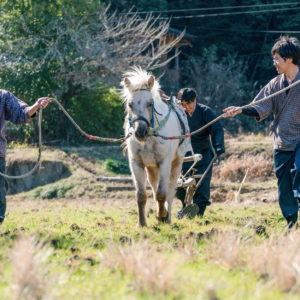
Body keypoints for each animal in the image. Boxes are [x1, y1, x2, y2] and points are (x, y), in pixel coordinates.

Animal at [121, 68, 190, 226]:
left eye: (150, 103)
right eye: (130, 104)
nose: (140, 131)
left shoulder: (164, 163)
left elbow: (162, 193)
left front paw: (162, 215)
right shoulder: (137, 164)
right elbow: (141, 195)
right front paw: (142, 223)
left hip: (176, 163)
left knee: (170, 189)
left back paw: (167, 217)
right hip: (151, 167)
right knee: (153, 186)